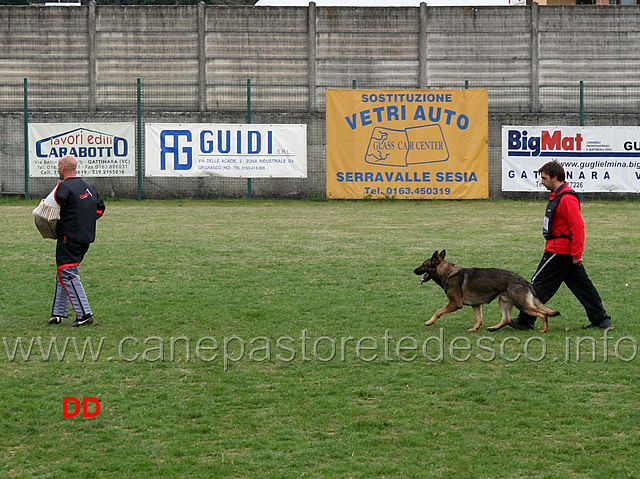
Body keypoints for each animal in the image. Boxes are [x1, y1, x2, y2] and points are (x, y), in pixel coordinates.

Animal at [416, 251, 560, 334]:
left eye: (423, 264)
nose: (413, 270)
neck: (448, 273)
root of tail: (525, 281)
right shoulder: (476, 305)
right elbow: (478, 318)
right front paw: (475, 329)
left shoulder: (455, 303)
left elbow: (438, 311)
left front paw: (429, 322)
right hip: (504, 302)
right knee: (506, 319)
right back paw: (494, 328)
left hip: (522, 305)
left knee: (543, 314)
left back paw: (544, 330)